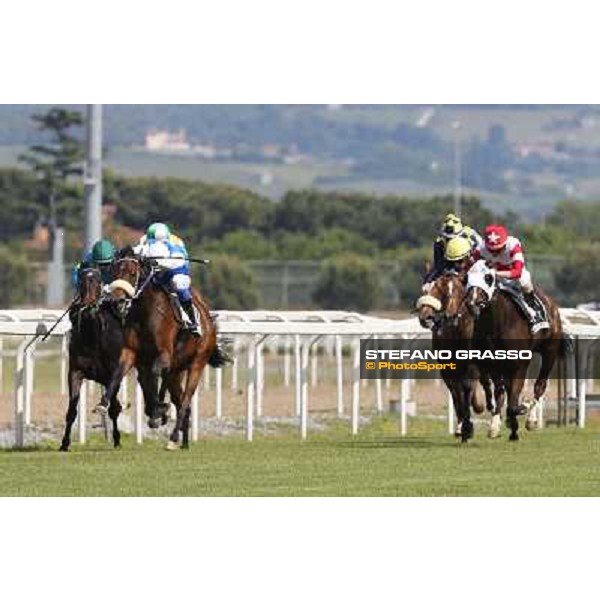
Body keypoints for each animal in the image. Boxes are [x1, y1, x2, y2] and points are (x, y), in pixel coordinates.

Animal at [60, 268, 125, 450]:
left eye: (97, 281)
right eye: (82, 282)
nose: (89, 306)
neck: (91, 336)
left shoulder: (113, 372)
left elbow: (112, 408)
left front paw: (116, 438)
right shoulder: (75, 371)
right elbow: (71, 410)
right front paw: (64, 443)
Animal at [99, 246, 224, 448]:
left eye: (132, 273)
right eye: (114, 271)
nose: (116, 300)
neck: (145, 311)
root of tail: (208, 319)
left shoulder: (164, 354)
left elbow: (155, 373)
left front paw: (158, 411)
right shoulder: (131, 353)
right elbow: (119, 373)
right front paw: (103, 404)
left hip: (197, 363)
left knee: (185, 401)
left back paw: (173, 438)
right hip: (176, 371)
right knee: (180, 401)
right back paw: (183, 442)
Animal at [418, 272, 506, 440]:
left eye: (459, 291)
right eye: (436, 289)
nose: (425, 317)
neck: (457, 331)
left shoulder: (472, 365)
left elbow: (467, 388)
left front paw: (470, 422)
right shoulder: (447, 368)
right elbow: (456, 392)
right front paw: (462, 426)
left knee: (496, 386)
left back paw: (494, 422)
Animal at [464, 262, 568, 440]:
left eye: (488, 278)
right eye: (467, 278)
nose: (472, 302)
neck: (498, 324)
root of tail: (553, 305)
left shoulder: (520, 363)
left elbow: (514, 400)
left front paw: (522, 407)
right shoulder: (492, 362)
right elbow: (500, 391)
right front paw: (495, 425)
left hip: (550, 352)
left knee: (540, 385)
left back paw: (531, 420)